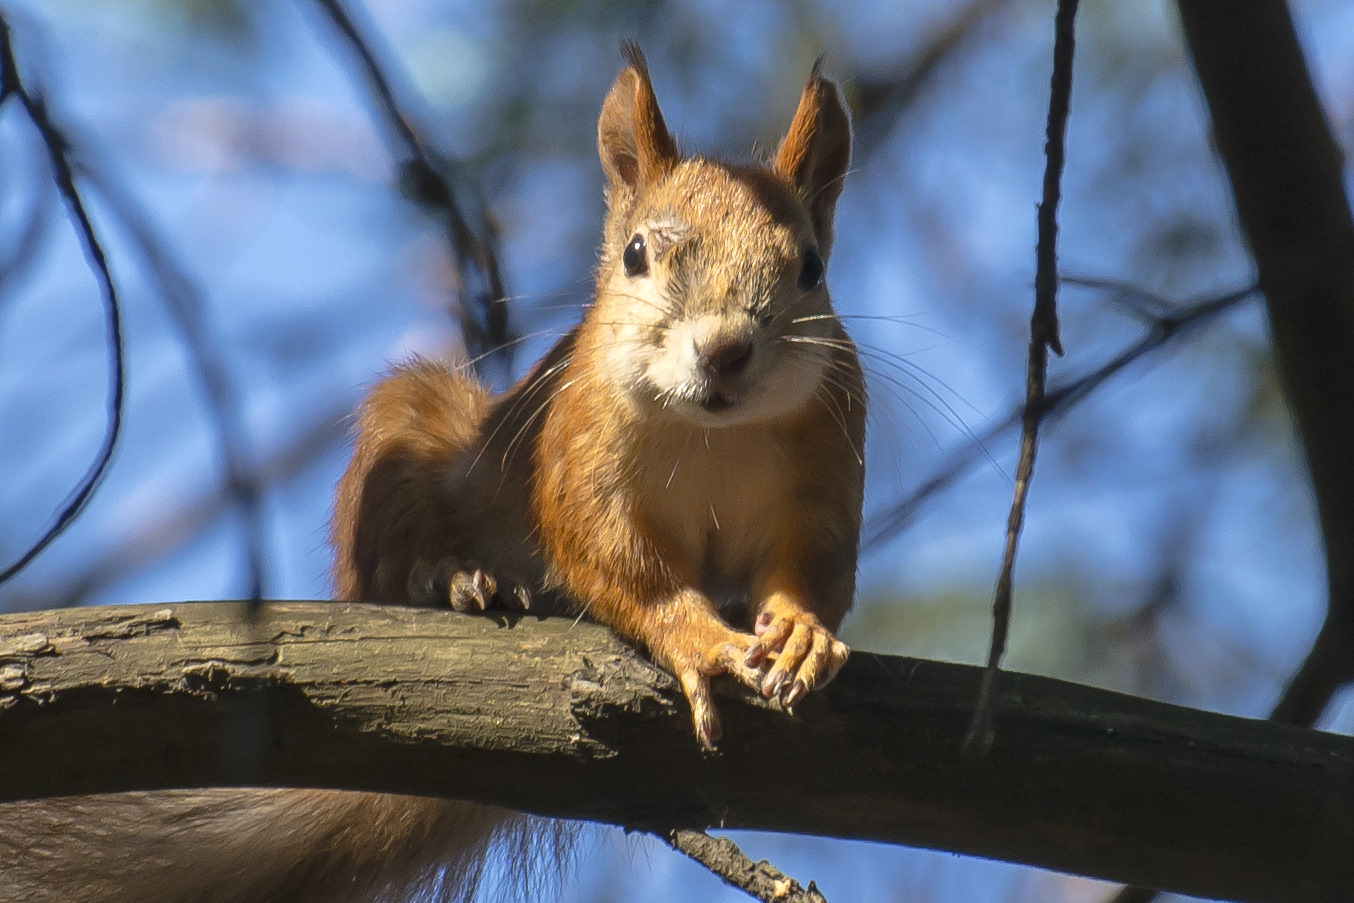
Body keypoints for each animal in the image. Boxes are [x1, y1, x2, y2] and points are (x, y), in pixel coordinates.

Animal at [338, 43, 866, 747]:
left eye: (813, 268)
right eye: (635, 253)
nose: (723, 350)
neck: (710, 434)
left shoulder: (830, 461)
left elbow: (816, 561)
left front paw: (802, 632)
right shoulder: (579, 449)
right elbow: (619, 564)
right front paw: (700, 641)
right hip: (407, 451)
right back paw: (456, 577)